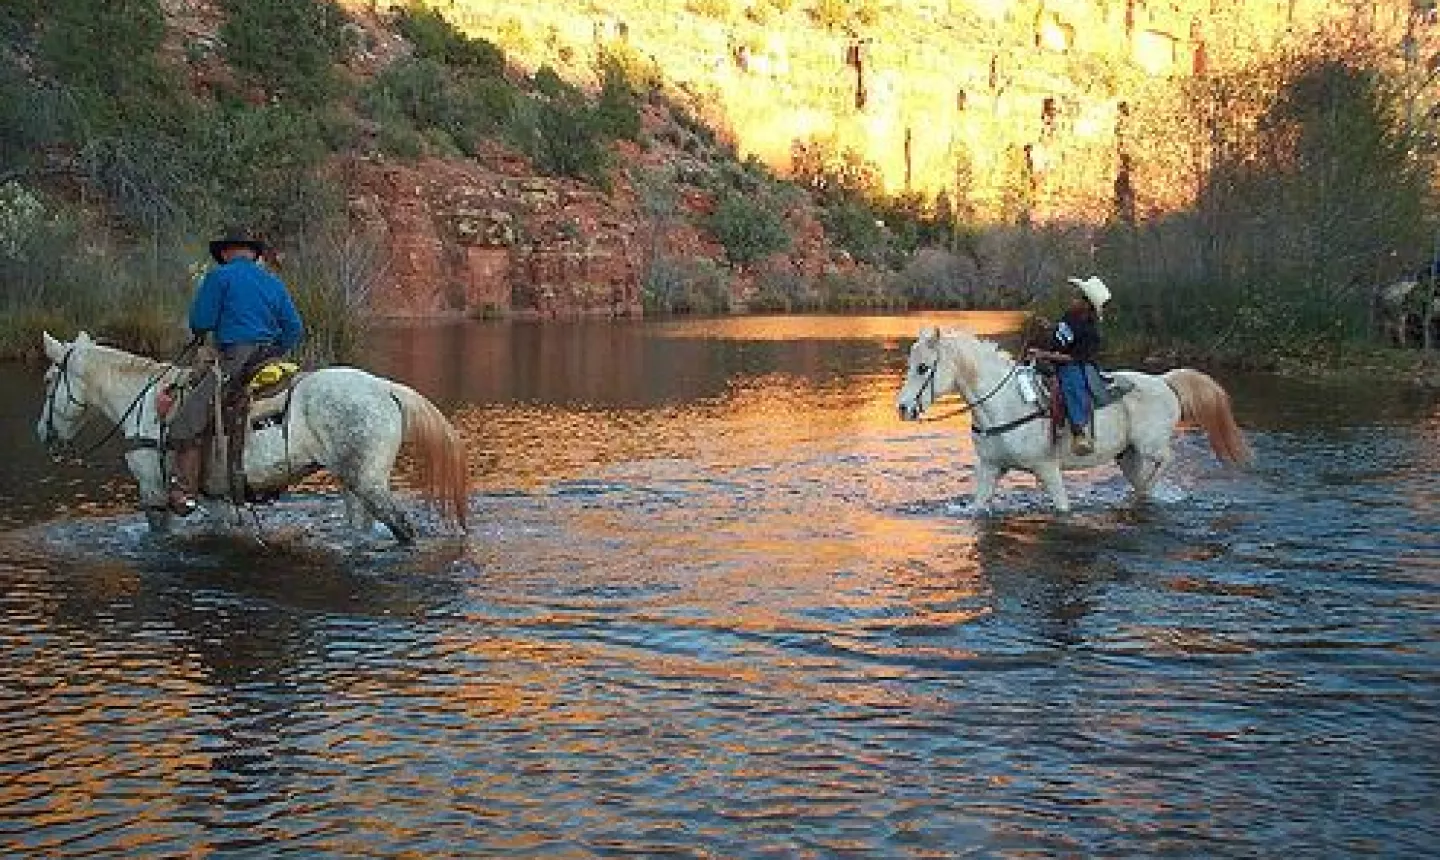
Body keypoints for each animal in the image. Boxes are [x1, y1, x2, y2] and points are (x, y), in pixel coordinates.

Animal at [36, 331, 468, 544]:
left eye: (49, 379)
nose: (42, 434)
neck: (142, 401)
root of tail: (386, 388)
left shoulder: (153, 492)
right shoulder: (216, 499)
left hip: (370, 483)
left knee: (403, 528)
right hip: (353, 485)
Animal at [895, 327, 1252, 513]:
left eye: (923, 368)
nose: (903, 408)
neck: (1004, 404)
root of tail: (1164, 380)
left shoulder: (1048, 469)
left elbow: (1063, 508)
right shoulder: (989, 469)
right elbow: (978, 507)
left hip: (1150, 446)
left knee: (1167, 459)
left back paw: (1143, 492)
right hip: (1128, 456)